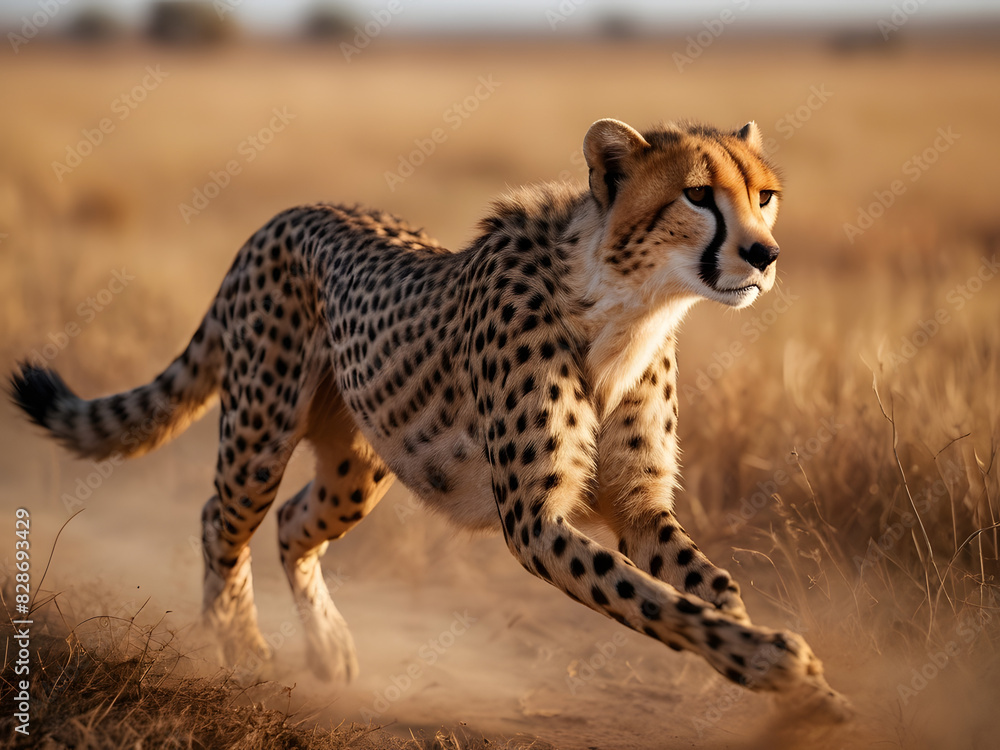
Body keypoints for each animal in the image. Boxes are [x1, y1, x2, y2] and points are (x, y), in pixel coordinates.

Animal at [10, 118, 849, 718]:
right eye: (698, 195)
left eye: (764, 196)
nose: (765, 254)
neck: (628, 305)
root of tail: (285, 215)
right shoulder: (535, 521)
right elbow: (648, 599)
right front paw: (773, 660)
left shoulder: (638, 505)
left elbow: (706, 582)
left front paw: (785, 681)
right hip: (261, 428)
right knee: (222, 516)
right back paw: (239, 645)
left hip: (361, 465)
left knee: (290, 522)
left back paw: (328, 647)